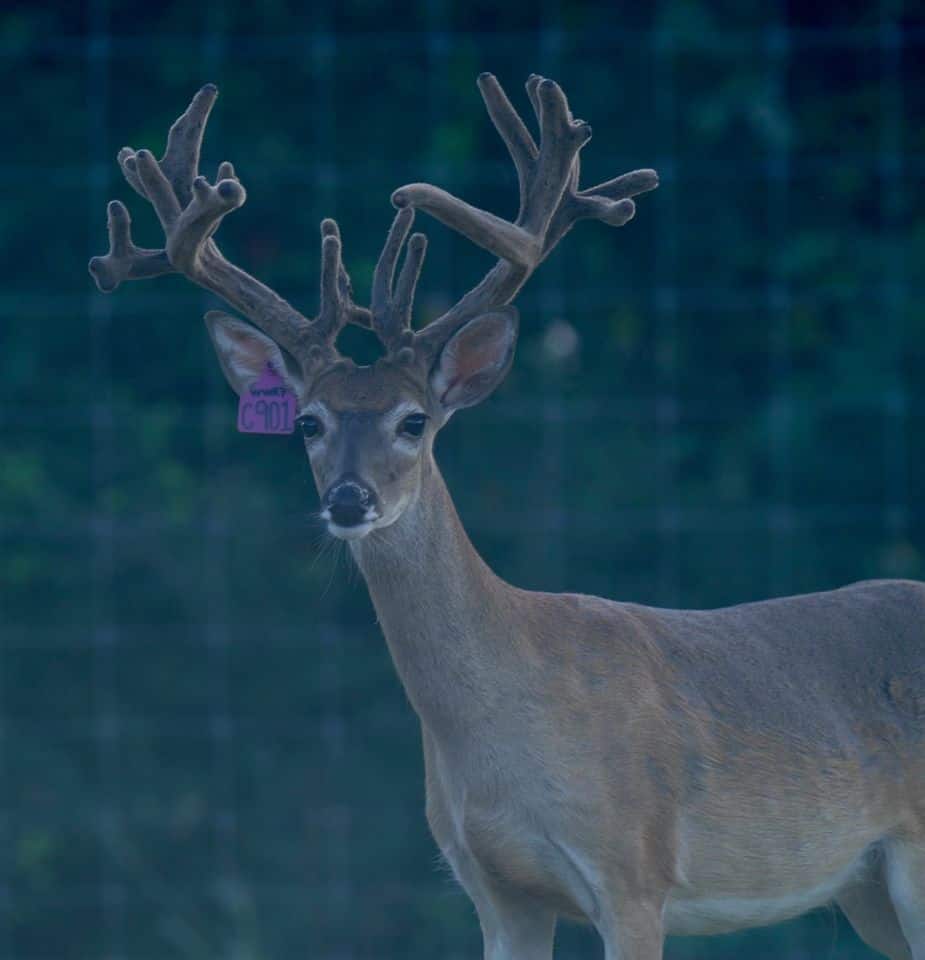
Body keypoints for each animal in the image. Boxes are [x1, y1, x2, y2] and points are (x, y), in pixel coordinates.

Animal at [88, 74, 925, 960]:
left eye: (414, 421)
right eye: (307, 422)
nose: (348, 499)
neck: (499, 718)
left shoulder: (633, 870)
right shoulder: (495, 888)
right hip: (866, 890)